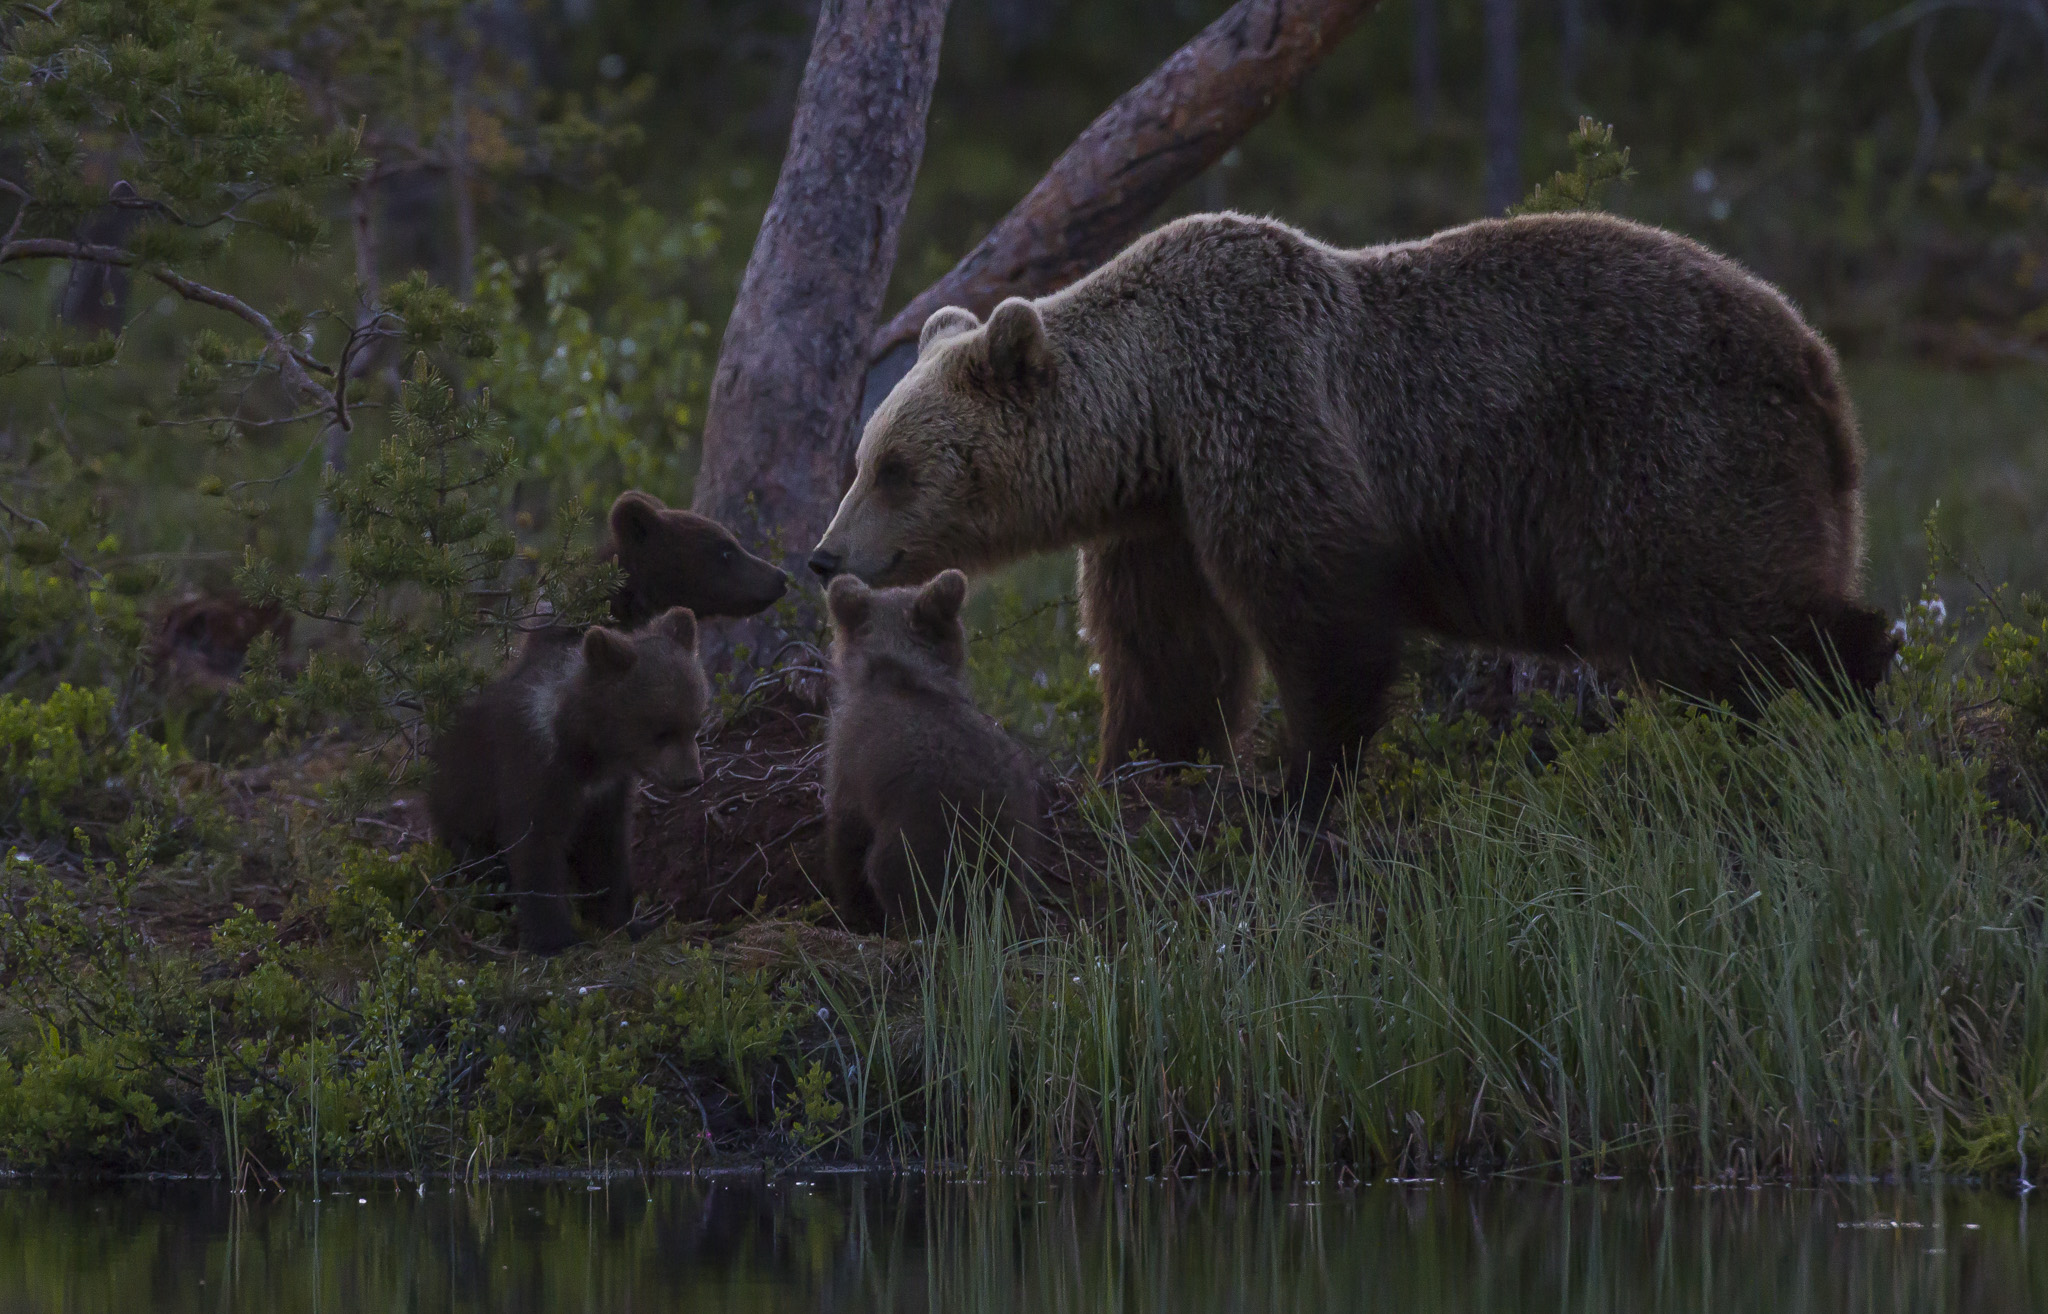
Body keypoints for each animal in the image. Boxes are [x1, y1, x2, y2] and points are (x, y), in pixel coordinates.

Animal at [427, 607, 708, 954]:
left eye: (695, 722)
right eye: (662, 731)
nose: (691, 777)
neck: (587, 751)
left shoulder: (606, 791)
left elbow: (605, 851)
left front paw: (628, 923)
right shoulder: (533, 771)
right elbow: (537, 848)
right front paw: (556, 940)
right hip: (460, 827)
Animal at [807, 209, 1897, 805]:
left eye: (895, 465)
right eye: (860, 458)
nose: (823, 556)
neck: (1152, 413)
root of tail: (1818, 360)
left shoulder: (1263, 412)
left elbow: (1321, 614)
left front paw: (1295, 782)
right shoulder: (1162, 520)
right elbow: (1166, 653)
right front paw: (1139, 766)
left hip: (1665, 448)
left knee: (1708, 602)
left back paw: (1847, 697)